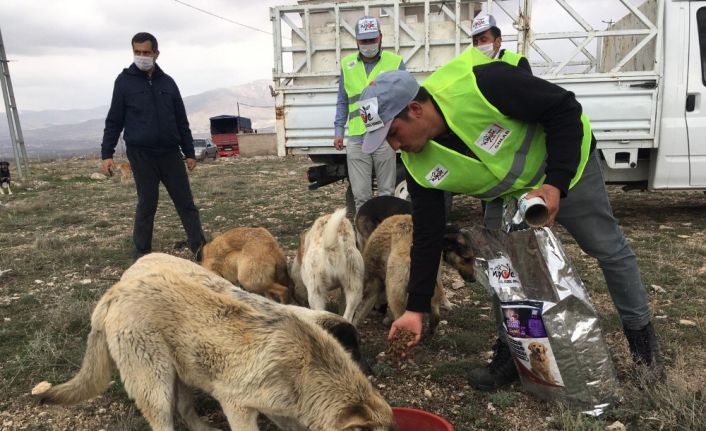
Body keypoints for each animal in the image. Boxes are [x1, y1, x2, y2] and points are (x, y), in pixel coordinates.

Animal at [31, 255, 396, 430]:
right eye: (353, 349)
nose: (371, 368)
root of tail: (116, 292)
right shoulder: (237, 407)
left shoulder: (278, 408)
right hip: (154, 384)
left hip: (179, 372)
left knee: (184, 408)